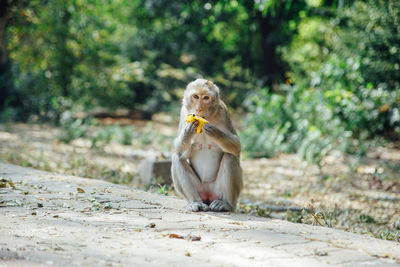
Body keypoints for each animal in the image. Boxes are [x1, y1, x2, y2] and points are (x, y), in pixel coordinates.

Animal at [170, 78, 242, 213]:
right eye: (196, 97)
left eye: (205, 98)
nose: (198, 108)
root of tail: (208, 195)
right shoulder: (184, 112)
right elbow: (180, 150)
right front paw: (188, 131)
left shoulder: (223, 111)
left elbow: (236, 146)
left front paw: (214, 131)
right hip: (200, 190)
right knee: (177, 158)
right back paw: (195, 203)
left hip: (218, 190)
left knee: (230, 157)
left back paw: (226, 204)